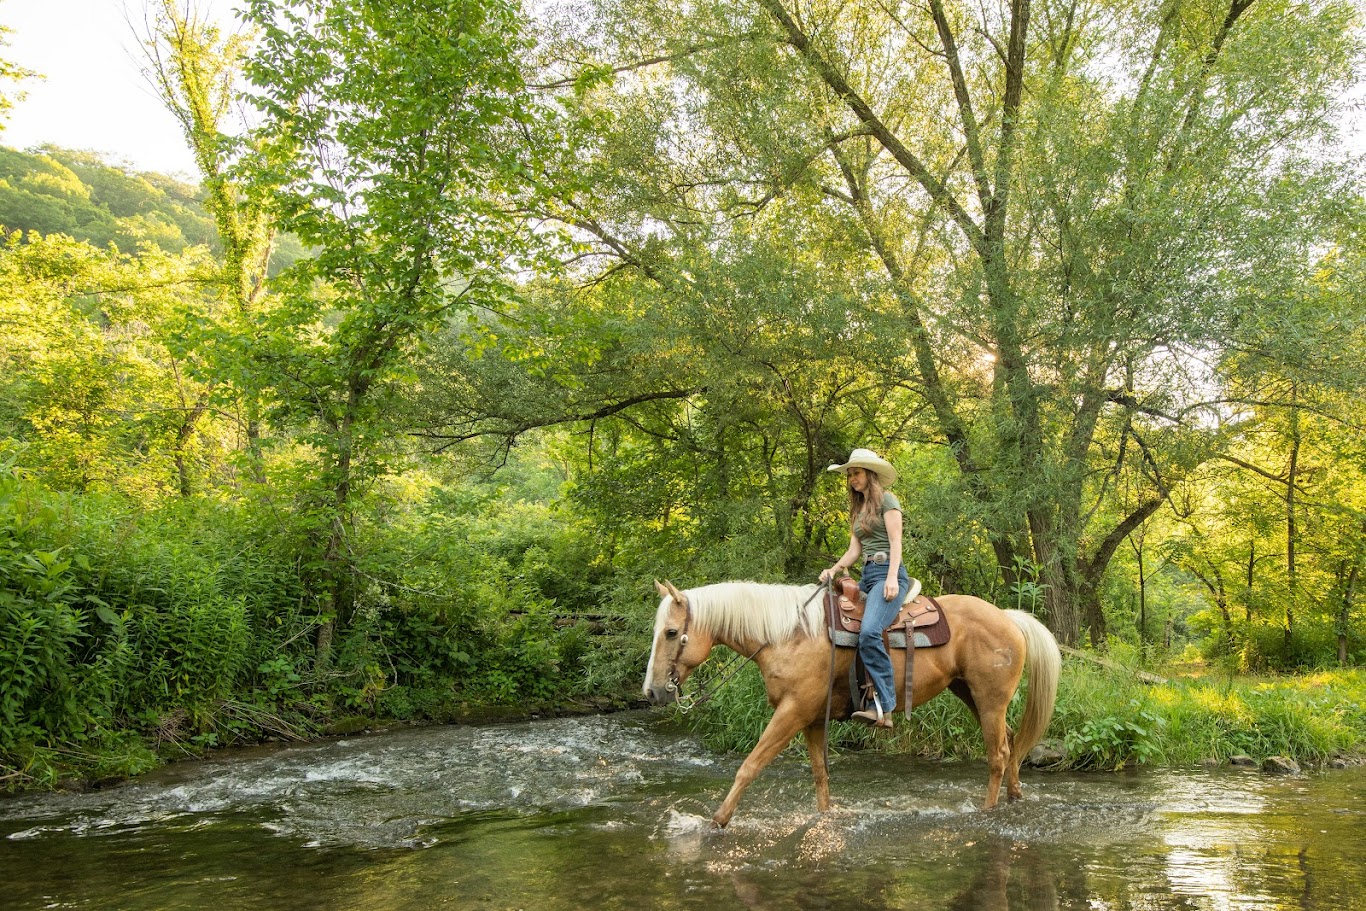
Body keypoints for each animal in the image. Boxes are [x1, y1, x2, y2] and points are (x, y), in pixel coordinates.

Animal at [643, 579, 1061, 829]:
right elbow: (820, 775)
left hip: (989, 699)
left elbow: (750, 765)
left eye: (672, 632)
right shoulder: (812, 718)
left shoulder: (792, 712)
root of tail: (1007, 617)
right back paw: (1014, 797)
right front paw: (825, 816)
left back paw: (988, 810)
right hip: (970, 694)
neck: (788, 635)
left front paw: (718, 820)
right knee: (1010, 743)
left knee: (997, 754)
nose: (652, 692)